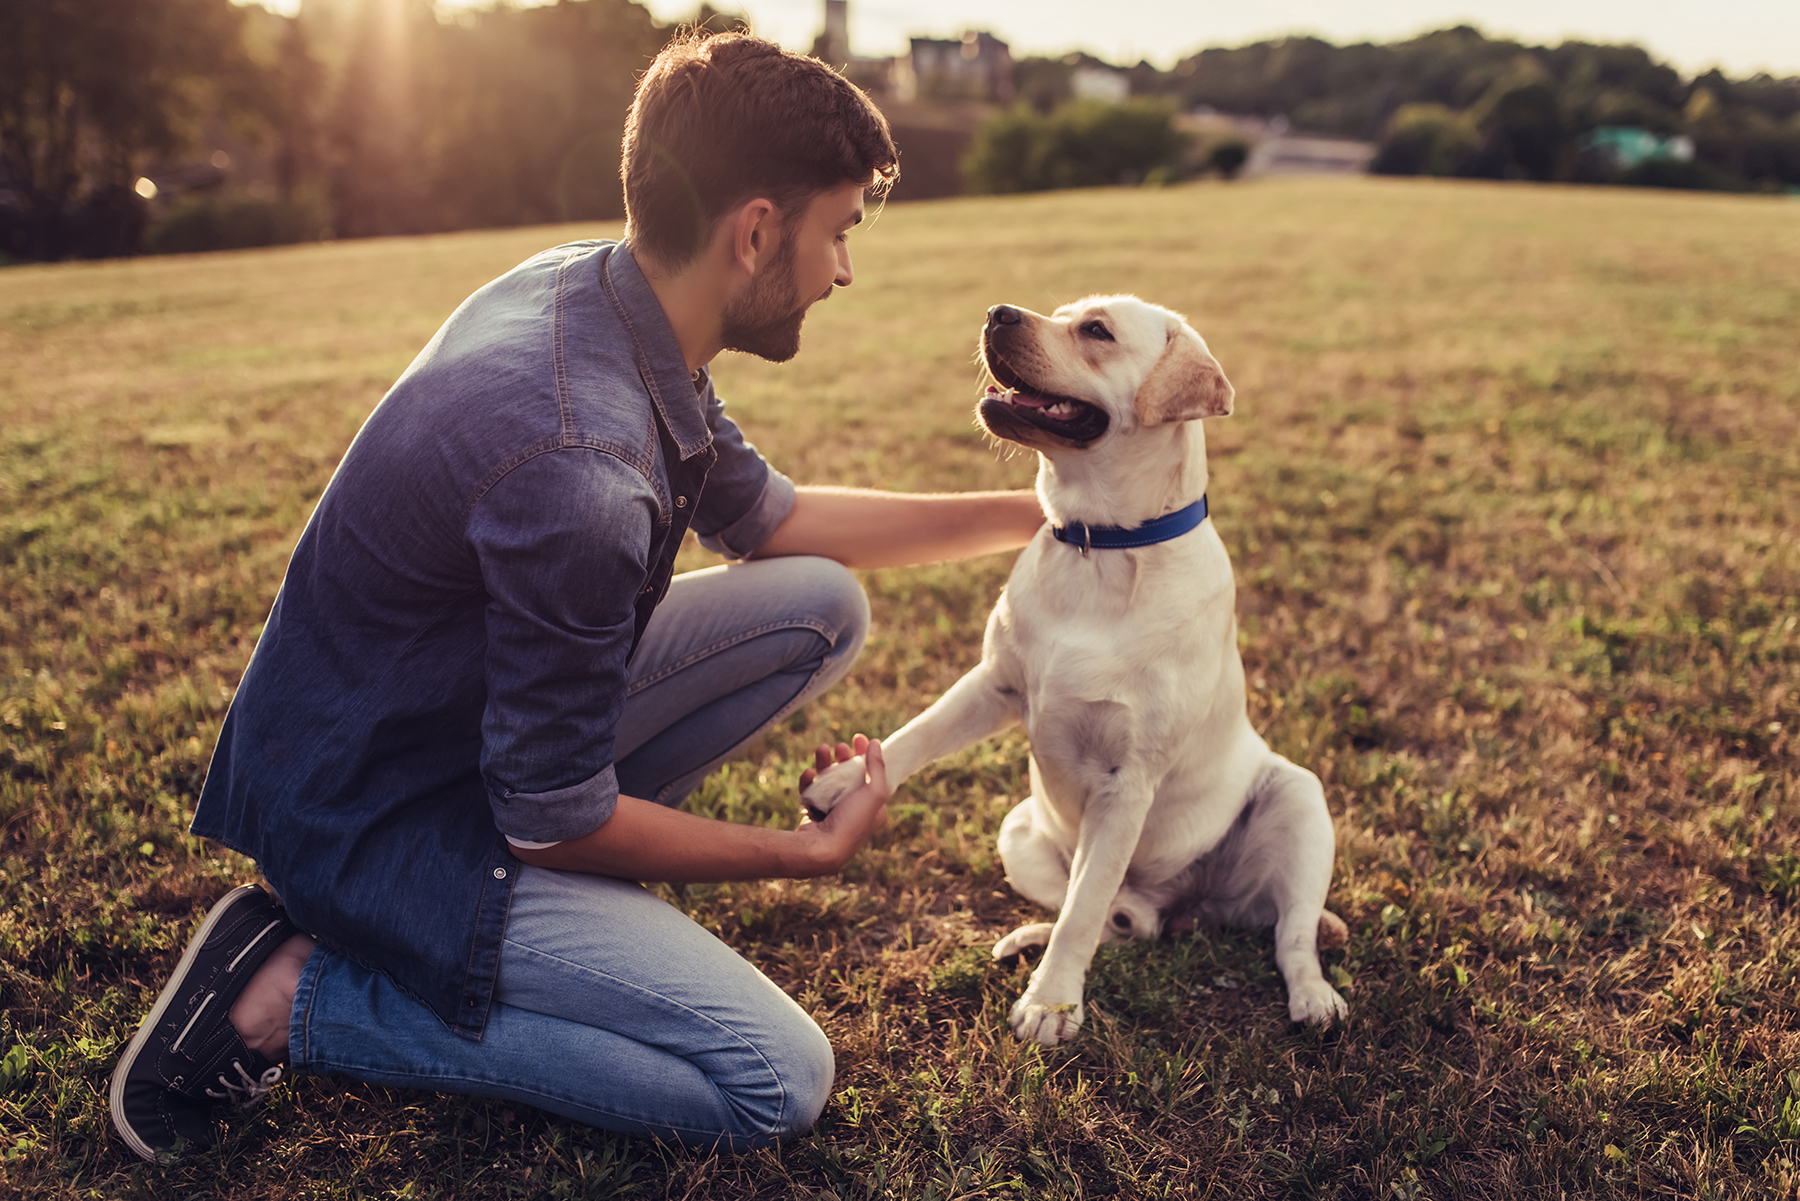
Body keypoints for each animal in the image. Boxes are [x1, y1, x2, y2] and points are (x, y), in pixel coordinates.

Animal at [806, 293, 1353, 1044]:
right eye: (1059, 312)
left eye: (1096, 330)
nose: (997, 311)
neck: (1101, 545)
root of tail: (1182, 908)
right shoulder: (995, 682)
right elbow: (916, 735)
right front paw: (842, 783)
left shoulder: (1127, 781)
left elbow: (1083, 911)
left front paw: (1051, 1004)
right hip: (1018, 833)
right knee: (1112, 920)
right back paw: (1030, 938)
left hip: (1300, 800)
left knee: (1284, 933)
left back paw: (1315, 997)